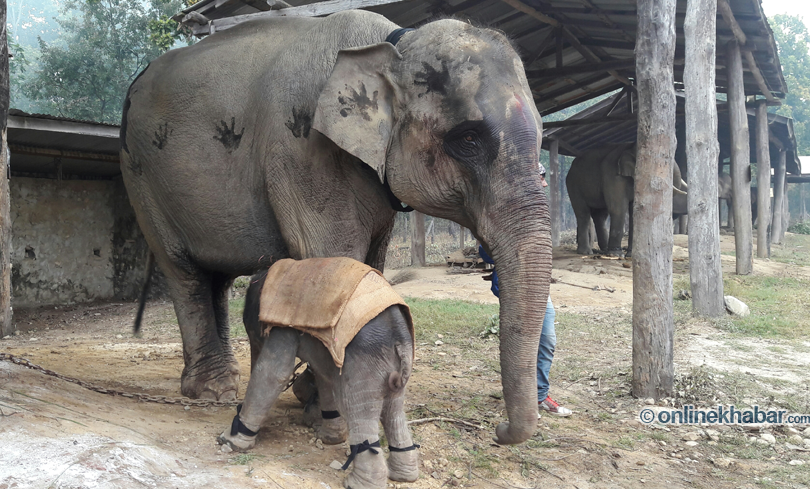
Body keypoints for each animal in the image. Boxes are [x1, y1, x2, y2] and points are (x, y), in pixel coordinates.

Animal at [120, 9, 548, 444]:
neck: (393, 43)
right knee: (183, 271)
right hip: (142, 178)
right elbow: (333, 259)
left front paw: (312, 396)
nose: (499, 430)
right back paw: (211, 390)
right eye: (468, 139)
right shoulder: (304, 149)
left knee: (216, 278)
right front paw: (327, 408)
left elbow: (369, 268)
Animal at [215, 258, 416, 486]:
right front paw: (328, 438)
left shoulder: (284, 326)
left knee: (357, 407)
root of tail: (399, 336)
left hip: (366, 362)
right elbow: (324, 374)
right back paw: (404, 476)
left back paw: (356, 484)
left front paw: (228, 441)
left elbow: (274, 372)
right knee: (394, 410)